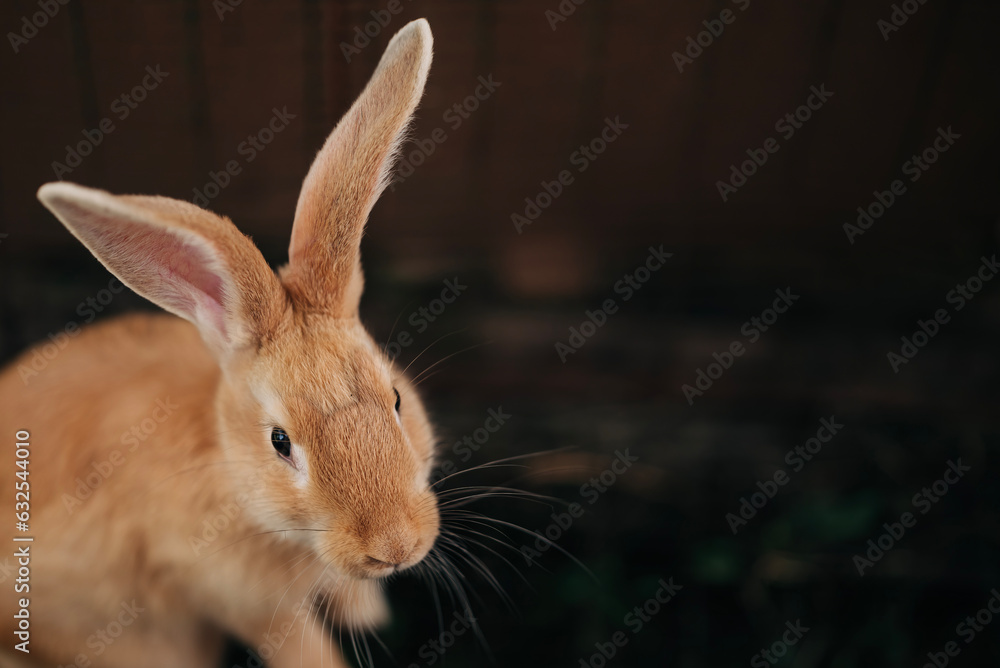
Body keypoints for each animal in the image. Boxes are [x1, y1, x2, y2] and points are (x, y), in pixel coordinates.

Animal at [0, 18, 441, 668]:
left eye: (397, 399)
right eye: (281, 442)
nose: (397, 547)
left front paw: (368, 615)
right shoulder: (246, 602)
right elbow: (302, 647)